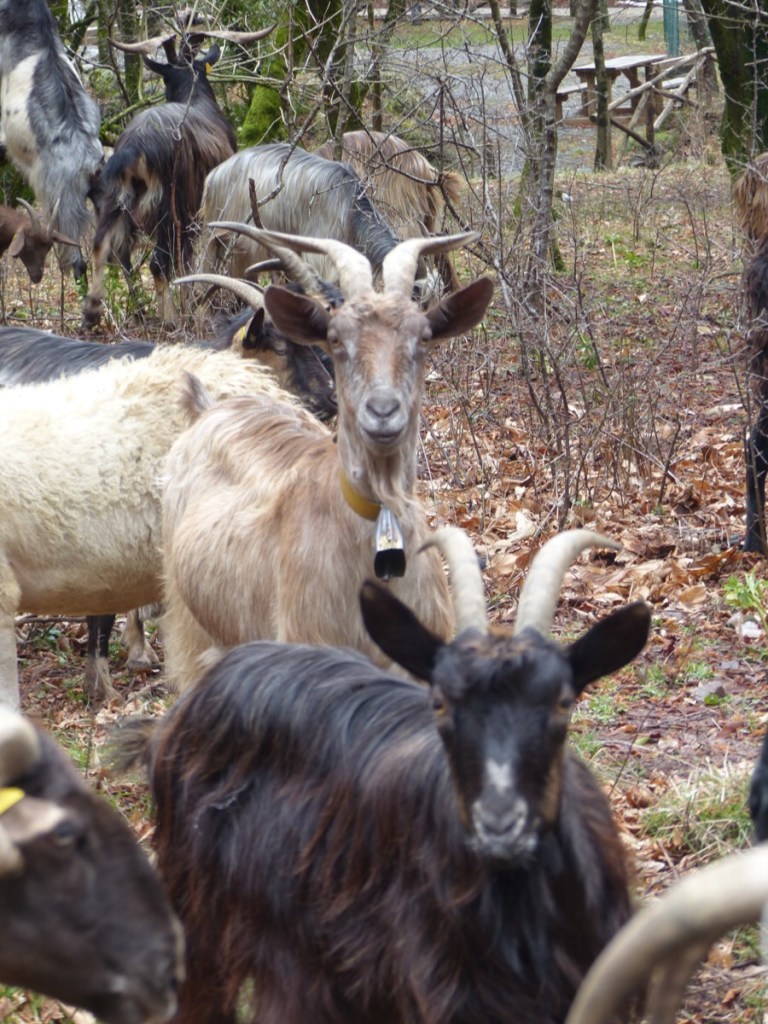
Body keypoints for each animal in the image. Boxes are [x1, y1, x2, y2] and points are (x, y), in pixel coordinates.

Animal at [83, 26, 271, 328]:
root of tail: (136, 149)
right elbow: (196, 260)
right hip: (170, 206)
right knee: (158, 263)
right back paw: (171, 319)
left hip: (115, 199)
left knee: (105, 248)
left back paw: (94, 312)